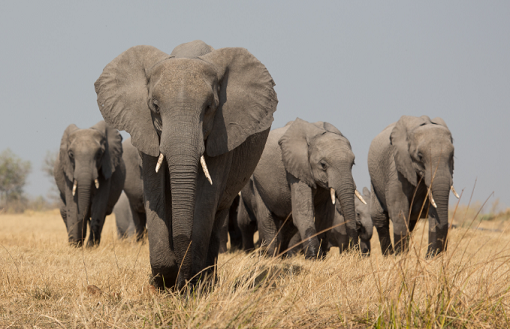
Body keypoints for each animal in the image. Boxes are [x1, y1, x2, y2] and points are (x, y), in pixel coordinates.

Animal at [95, 40, 278, 288]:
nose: (180, 276)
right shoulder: (147, 130)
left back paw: (208, 281)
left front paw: (189, 284)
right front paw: (163, 281)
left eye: (209, 107)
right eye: (155, 106)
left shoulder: (223, 135)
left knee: (218, 213)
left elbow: (206, 198)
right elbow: (156, 193)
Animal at [244, 118, 366, 258]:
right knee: (267, 220)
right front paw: (314, 257)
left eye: (353, 164)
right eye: (323, 165)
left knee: (289, 223)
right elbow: (303, 213)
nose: (356, 251)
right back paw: (271, 257)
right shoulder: (296, 169)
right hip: (257, 184)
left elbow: (325, 216)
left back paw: (282, 256)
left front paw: (321, 256)